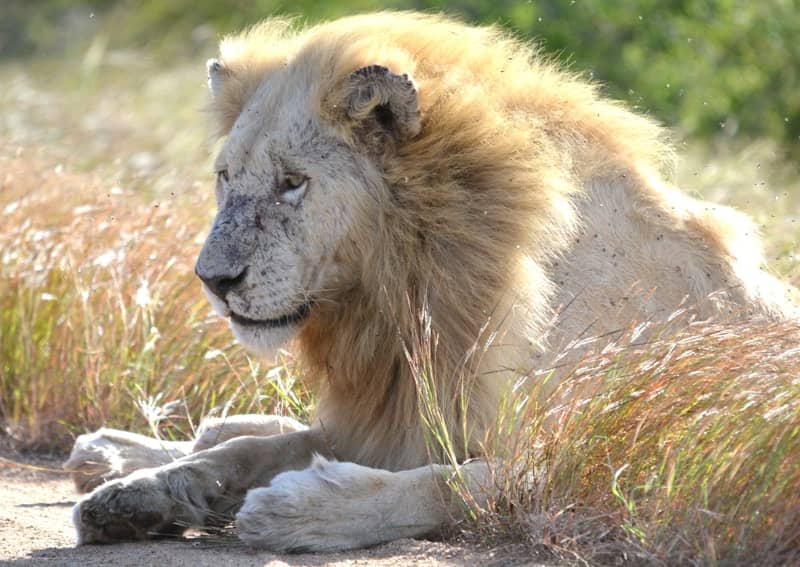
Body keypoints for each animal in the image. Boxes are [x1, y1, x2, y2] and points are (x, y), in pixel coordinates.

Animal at [65, 12, 798, 551]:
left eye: (292, 183)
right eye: (225, 177)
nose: (212, 279)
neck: (410, 279)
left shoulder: (596, 461)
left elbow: (451, 484)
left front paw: (299, 509)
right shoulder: (396, 412)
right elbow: (254, 449)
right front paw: (142, 496)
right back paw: (112, 455)